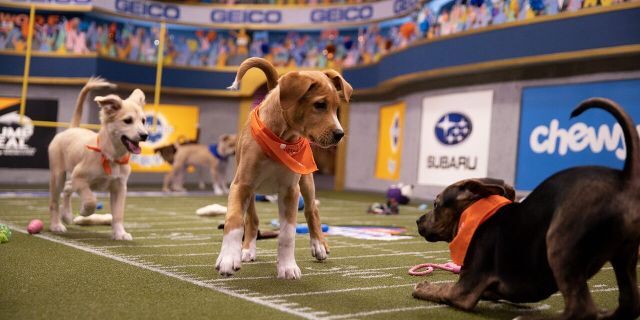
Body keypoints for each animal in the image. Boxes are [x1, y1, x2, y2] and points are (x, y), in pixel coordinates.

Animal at [47, 77, 149, 240]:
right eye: (128, 120)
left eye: (143, 120)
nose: (145, 135)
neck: (111, 156)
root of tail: (72, 128)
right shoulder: (80, 178)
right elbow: (91, 200)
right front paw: (84, 211)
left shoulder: (120, 187)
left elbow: (118, 213)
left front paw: (120, 233)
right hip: (58, 175)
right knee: (54, 201)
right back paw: (56, 224)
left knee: (68, 188)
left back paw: (67, 215)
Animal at [218, 58, 352, 280]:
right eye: (320, 105)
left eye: (336, 108)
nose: (339, 134)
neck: (282, 138)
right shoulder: (241, 184)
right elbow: (234, 219)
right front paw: (229, 258)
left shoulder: (291, 190)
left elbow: (288, 233)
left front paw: (288, 266)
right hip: (252, 192)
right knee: (252, 219)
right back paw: (247, 249)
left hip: (306, 181)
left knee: (311, 209)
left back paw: (318, 244)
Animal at [416, 98, 640, 320]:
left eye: (436, 204)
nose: (418, 221)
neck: (475, 218)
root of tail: (624, 179)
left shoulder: (463, 290)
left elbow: (440, 288)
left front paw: (423, 286)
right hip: (625, 255)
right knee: (628, 303)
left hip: (560, 243)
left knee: (582, 309)